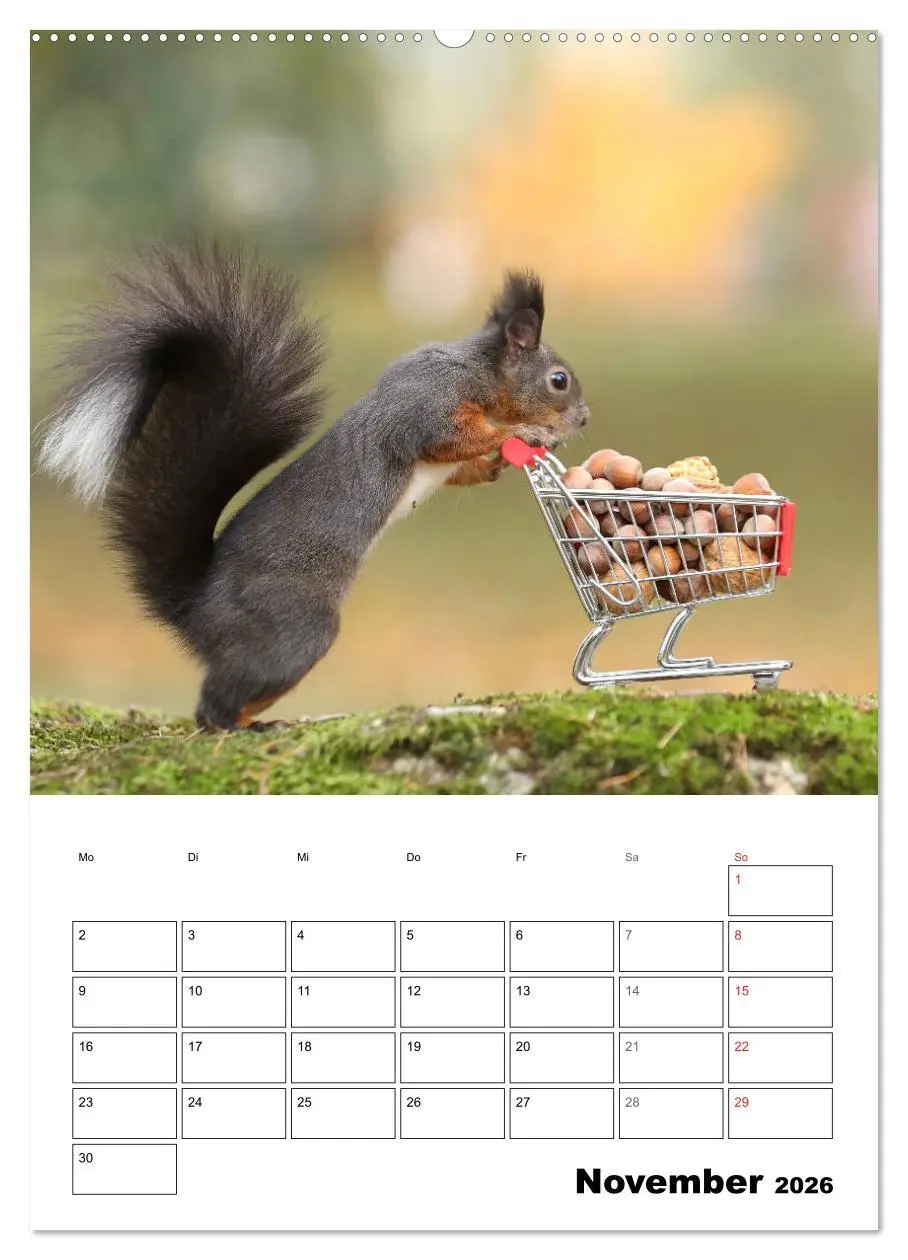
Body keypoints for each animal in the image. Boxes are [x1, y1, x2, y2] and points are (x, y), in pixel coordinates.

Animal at [40, 244, 590, 730]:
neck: (477, 369)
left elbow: (461, 467)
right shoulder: (427, 406)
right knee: (213, 703)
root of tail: (195, 609)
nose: (585, 419)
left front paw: (497, 463)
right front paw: (525, 435)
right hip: (293, 628)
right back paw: (235, 727)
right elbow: (450, 437)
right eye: (559, 380)